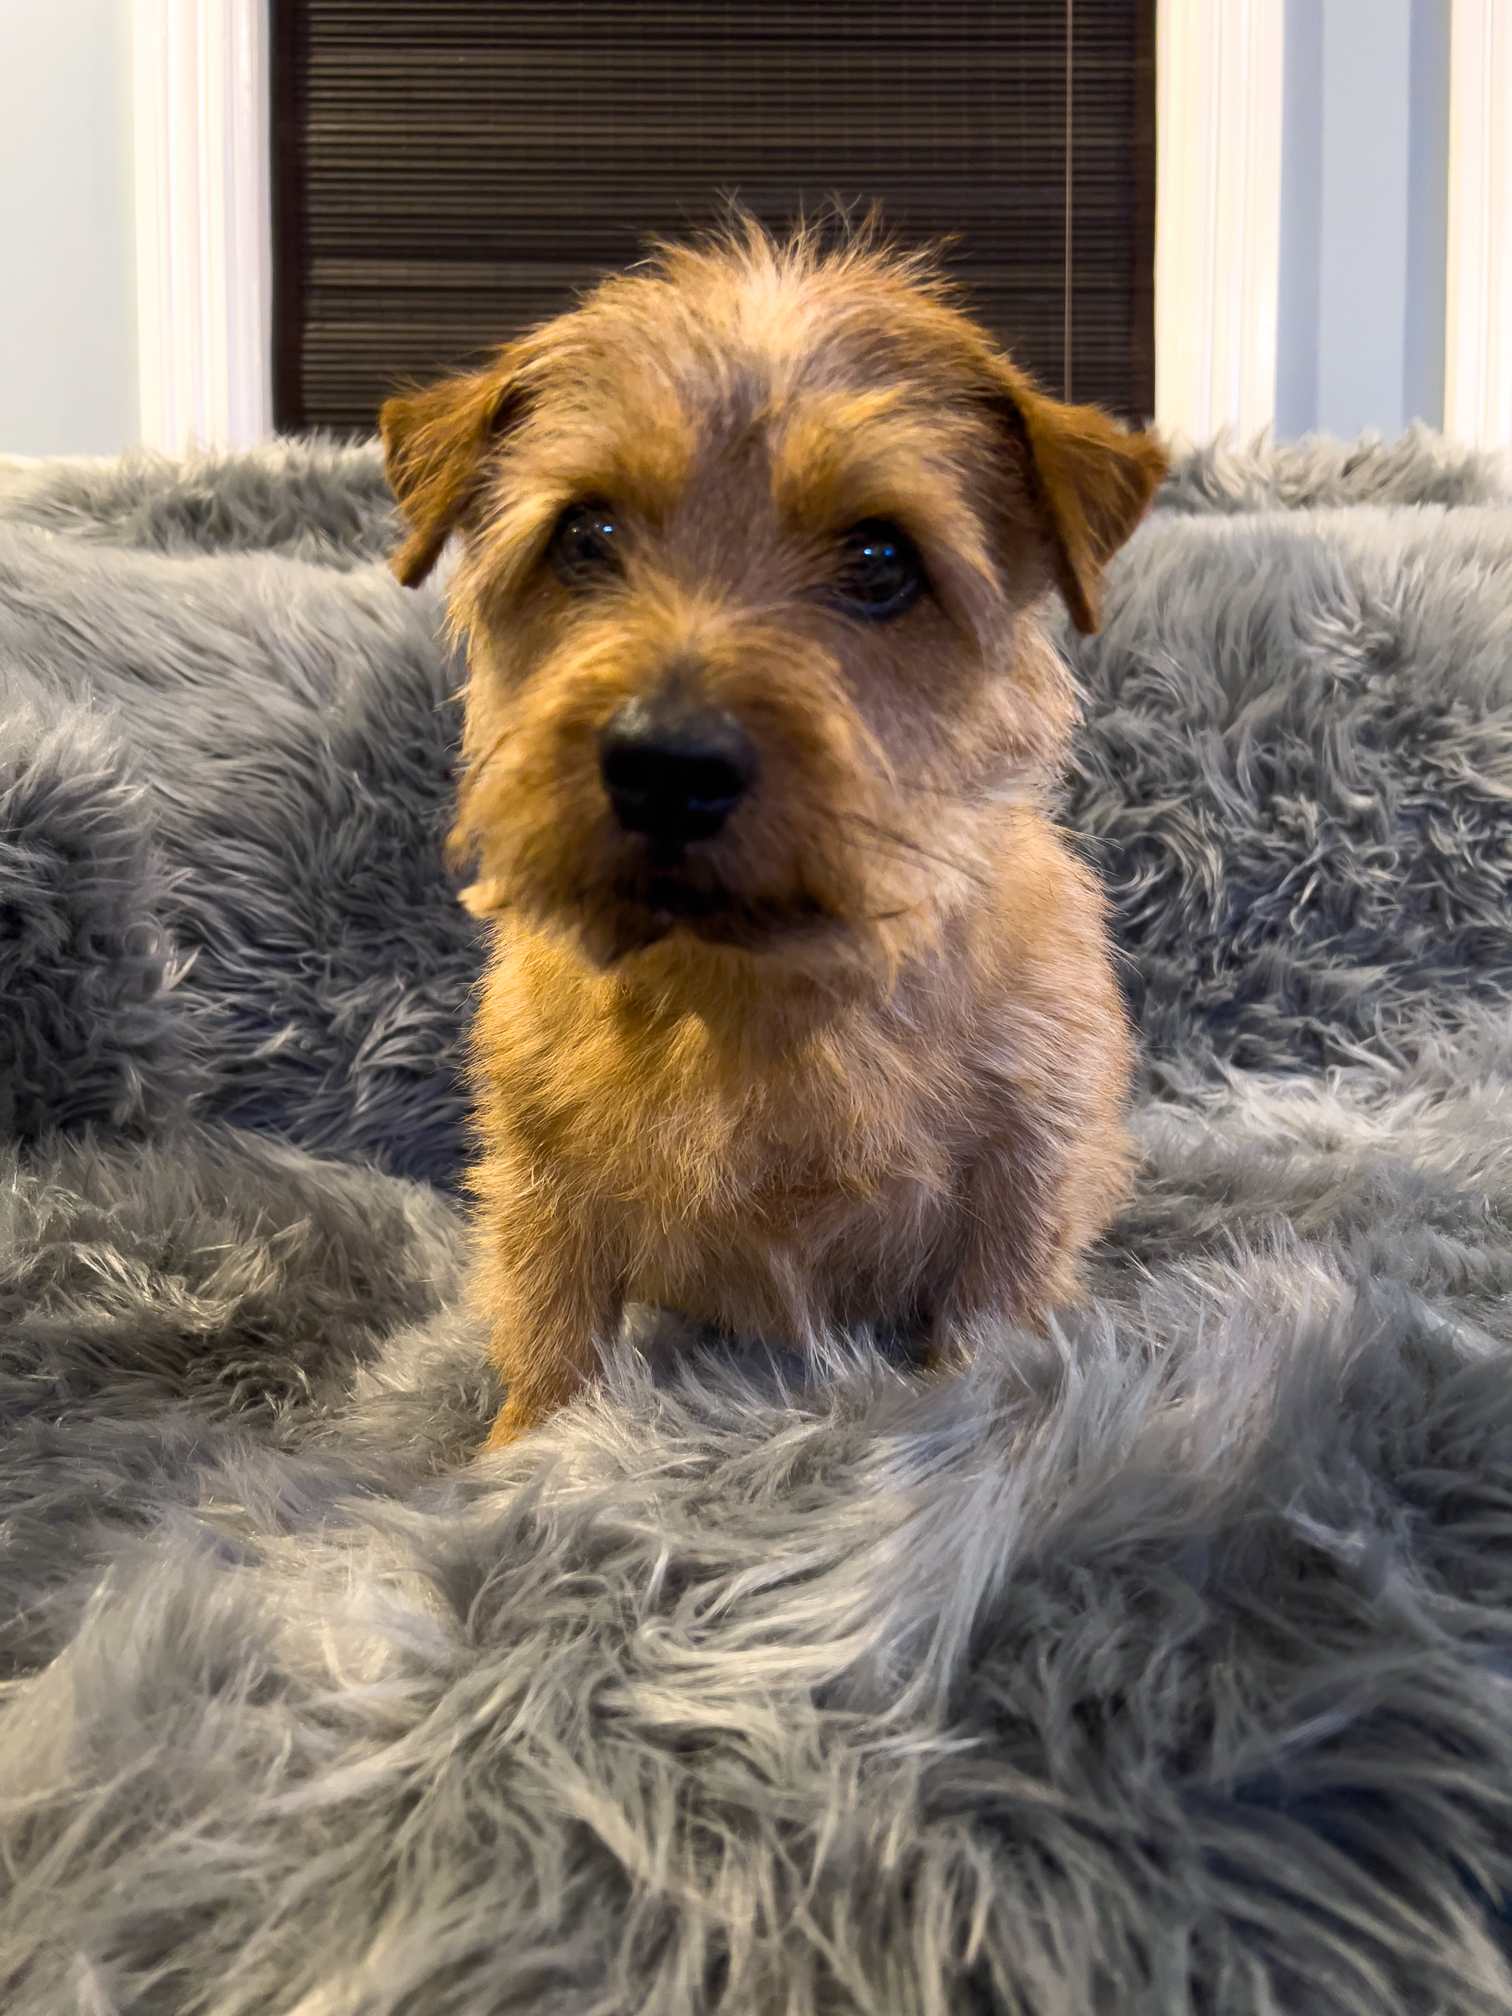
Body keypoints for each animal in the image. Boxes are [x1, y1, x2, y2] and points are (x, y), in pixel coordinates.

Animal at [381, 224, 1169, 1451]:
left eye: (883, 561)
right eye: (586, 534)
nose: (666, 764)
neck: (747, 990)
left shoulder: (1024, 1164)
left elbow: (989, 1329)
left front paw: (987, 1428)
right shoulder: (542, 1181)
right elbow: (551, 1338)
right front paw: (525, 1463)